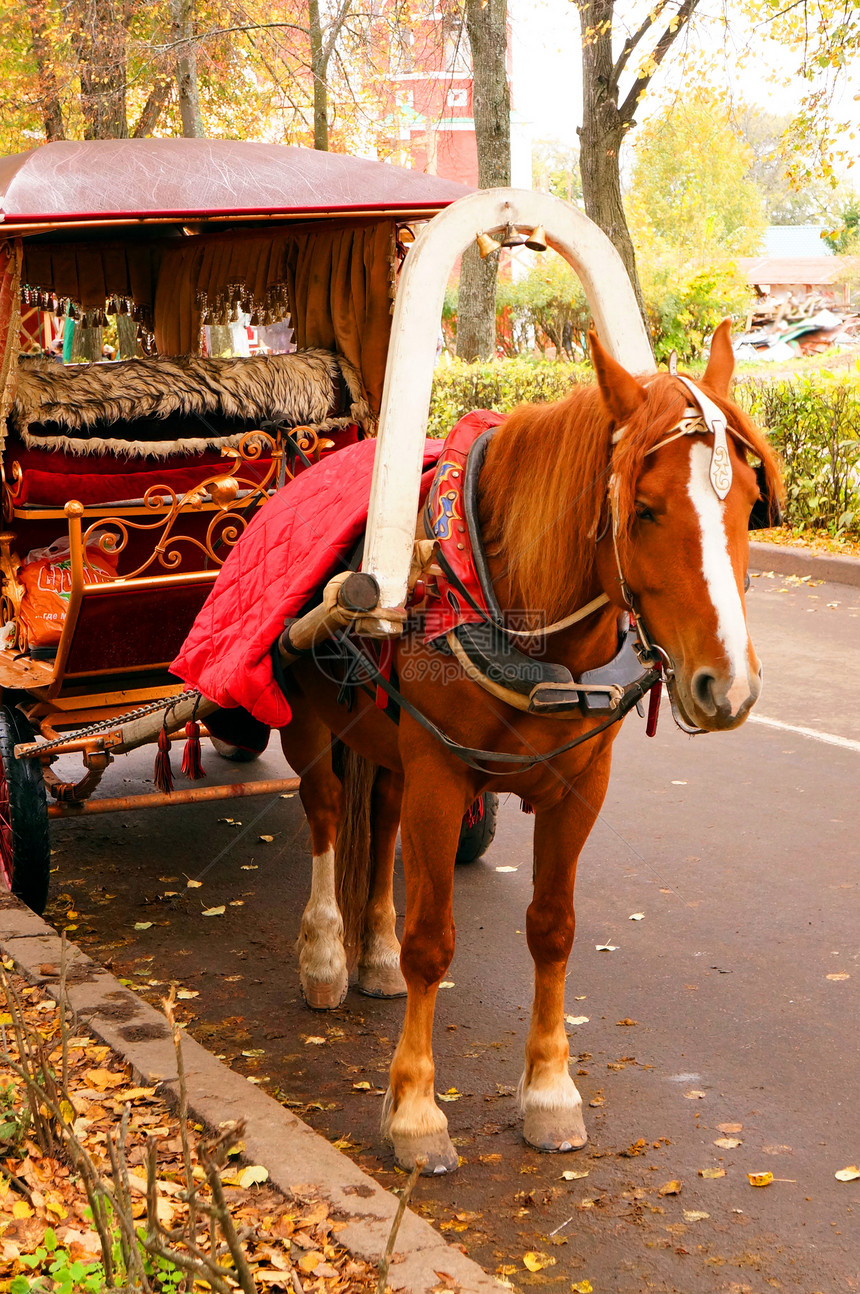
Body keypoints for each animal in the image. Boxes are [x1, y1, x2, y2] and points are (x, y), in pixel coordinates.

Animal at [272, 323, 775, 1174]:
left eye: (744, 499)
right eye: (644, 510)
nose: (727, 687)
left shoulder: (580, 787)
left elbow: (553, 929)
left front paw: (549, 1092)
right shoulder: (443, 778)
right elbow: (434, 940)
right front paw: (415, 1110)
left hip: (395, 744)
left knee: (380, 814)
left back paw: (373, 953)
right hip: (310, 722)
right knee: (328, 814)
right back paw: (326, 956)